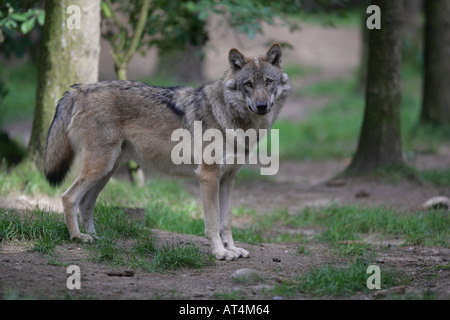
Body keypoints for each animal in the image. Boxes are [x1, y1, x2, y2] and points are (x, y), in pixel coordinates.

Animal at [44, 44, 292, 260]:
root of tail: (79, 89)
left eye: (268, 82)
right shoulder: (208, 176)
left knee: (86, 203)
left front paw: (232, 248)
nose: (261, 106)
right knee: (68, 197)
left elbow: (226, 221)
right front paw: (220, 253)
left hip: (107, 170)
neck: (232, 120)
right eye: (248, 84)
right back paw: (78, 237)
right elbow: (212, 222)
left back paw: (96, 237)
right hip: (100, 167)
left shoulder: (228, 179)